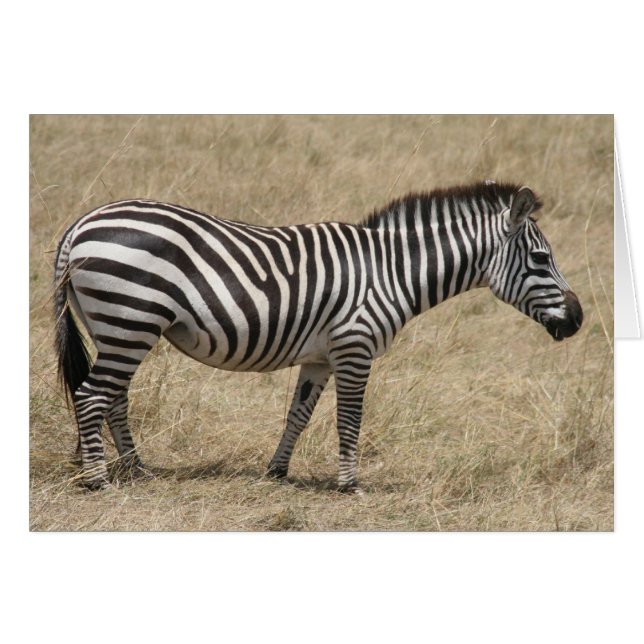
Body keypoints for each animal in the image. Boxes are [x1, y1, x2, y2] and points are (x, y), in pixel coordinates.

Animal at [54, 181, 583, 493]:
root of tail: (81, 223)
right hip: (130, 320)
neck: (390, 272)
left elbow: (299, 414)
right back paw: (98, 479)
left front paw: (276, 471)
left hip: (118, 327)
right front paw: (350, 484)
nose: (577, 320)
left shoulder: (320, 357)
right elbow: (349, 419)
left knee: (113, 397)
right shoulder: (355, 348)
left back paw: (137, 469)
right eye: (541, 259)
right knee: (91, 395)